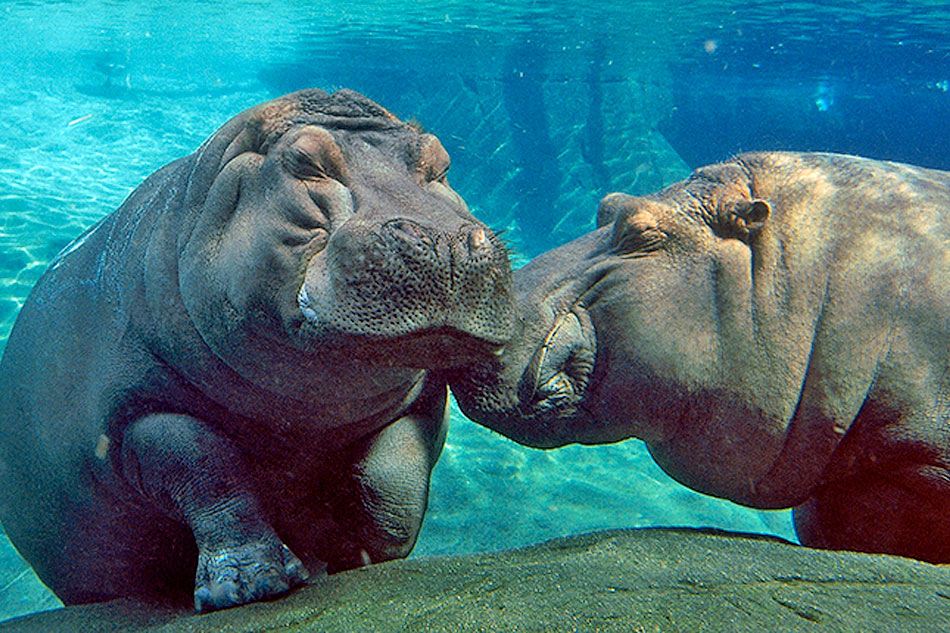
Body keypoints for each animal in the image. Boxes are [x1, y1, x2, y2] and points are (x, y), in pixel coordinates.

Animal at [0, 86, 512, 608]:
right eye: (305, 161)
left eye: (441, 164)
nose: (443, 241)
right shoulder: (132, 417)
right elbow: (208, 469)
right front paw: (250, 586)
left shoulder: (423, 400)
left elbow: (393, 476)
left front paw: (358, 554)